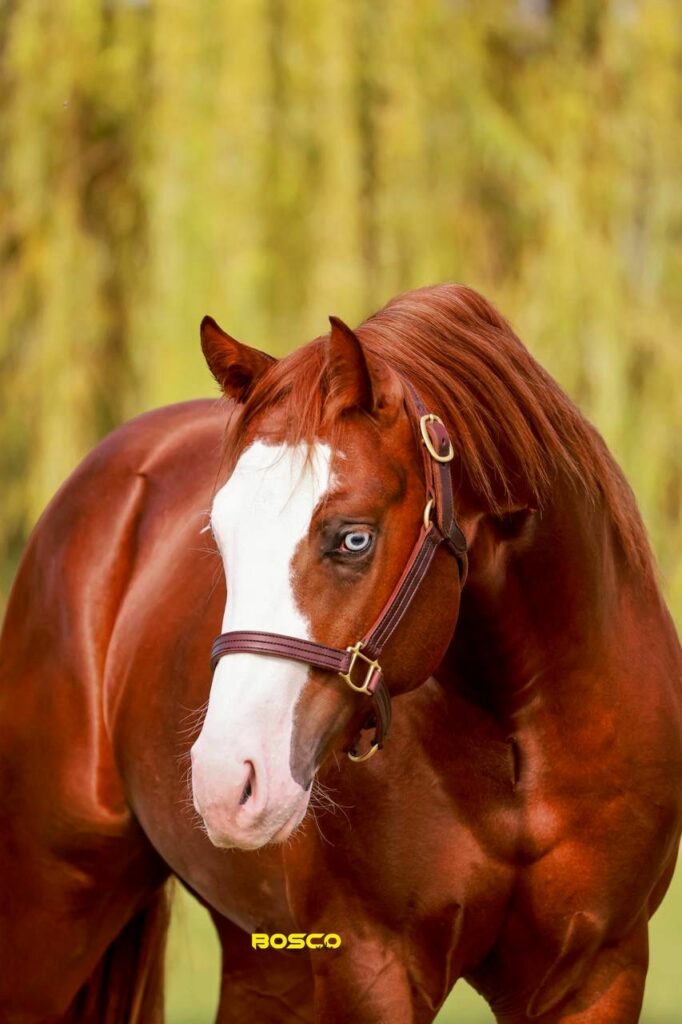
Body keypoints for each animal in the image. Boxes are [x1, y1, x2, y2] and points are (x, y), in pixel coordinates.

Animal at [0, 283, 680, 1024]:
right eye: (218, 535)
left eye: (353, 538)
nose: (225, 781)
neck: (521, 737)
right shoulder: (369, 967)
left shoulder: (598, 971)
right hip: (49, 910)